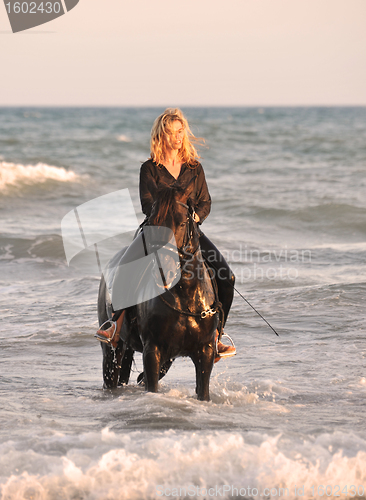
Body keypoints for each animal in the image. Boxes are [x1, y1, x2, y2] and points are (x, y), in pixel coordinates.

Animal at [97, 182, 222, 400]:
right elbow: (151, 386)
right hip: (112, 349)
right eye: (152, 223)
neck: (184, 297)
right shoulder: (152, 351)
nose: (165, 271)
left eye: (182, 223)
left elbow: (203, 392)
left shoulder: (205, 352)